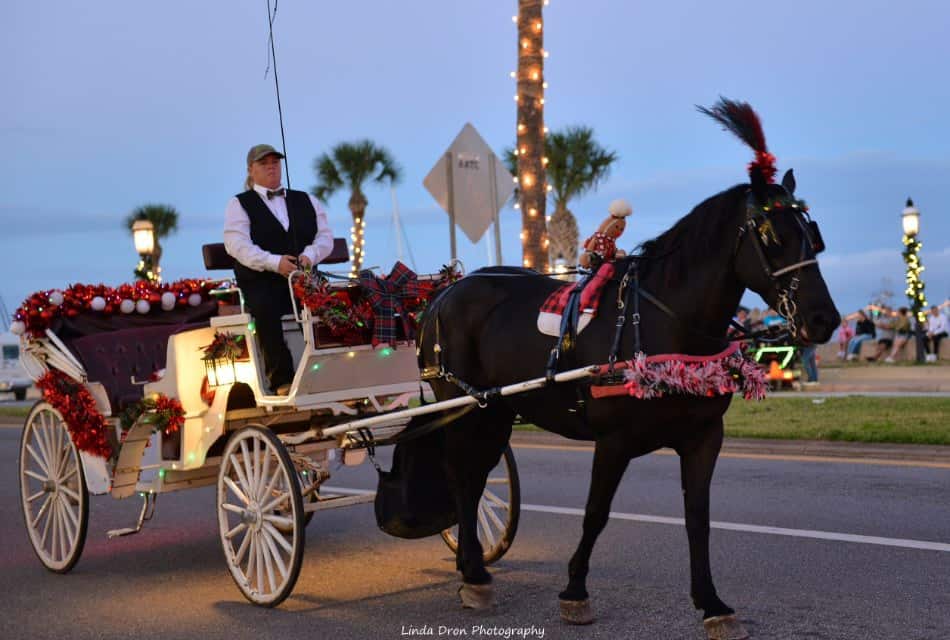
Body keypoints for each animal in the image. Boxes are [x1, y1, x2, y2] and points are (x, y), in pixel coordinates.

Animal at [416, 100, 840, 636]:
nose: (825, 319)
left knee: (472, 480)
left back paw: (472, 567)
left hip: (496, 412)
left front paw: (712, 602)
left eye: (812, 235)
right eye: (771, 236)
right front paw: (575, 591)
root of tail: (445, 291)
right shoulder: (613, 441)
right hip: (464, 406)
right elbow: (596, 513)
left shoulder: (704, 437)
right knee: (461, 476)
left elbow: (697, 518)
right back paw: (472, 572)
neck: (666, 323)